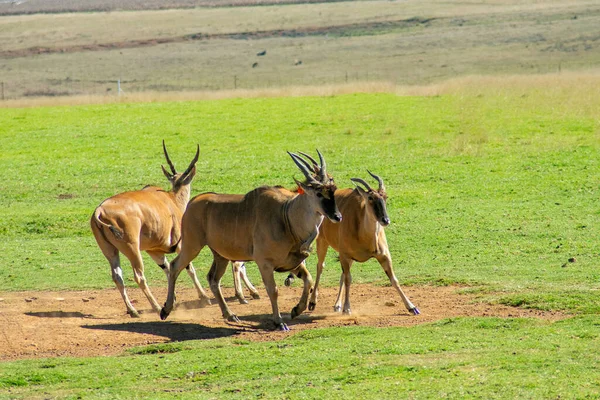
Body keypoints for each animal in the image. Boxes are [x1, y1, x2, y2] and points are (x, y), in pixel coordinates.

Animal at [89, 142, 246, 318]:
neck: (171, 199)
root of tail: (100, 210)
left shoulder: (154, 251)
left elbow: (168, 268)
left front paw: (174, 300)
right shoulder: (180, 244)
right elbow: (188, 268)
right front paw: (204, 297)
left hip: (111, 252)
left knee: (117, 276)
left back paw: (133, 310)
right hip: (132, 249)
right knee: (139, 276)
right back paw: (157, 307)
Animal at [161, 151, 342, 332]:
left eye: (333, 189)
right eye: (319, 193)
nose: (338, 216)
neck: (287, 216)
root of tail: (192, 202)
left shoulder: (292, 263)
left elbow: (308, 280)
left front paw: (296, 310)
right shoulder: (265, 263)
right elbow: (273, 290)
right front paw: (279, 321)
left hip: (221, 256)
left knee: (213, 279)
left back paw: (230, 314)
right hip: (192, 246)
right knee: (175, 266)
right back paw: (166, 309)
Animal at [284, 169, 418, 316]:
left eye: (385, 197)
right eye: (370, 198)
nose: (385, 220)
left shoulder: (383, 256)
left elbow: (394, 279)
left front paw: (411, 307)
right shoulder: (345, 255)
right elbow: (348, 279)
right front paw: (347, 308)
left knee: (341, 274)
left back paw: (337, 305)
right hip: (323, 243)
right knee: (321, 267)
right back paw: (313, 302)